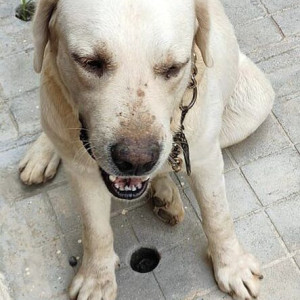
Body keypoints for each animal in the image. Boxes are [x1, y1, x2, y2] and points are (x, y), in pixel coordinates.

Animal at [18, 1, 274, 298]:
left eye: (173, 68)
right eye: (90, 62)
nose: (136, 161)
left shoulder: (204, 158)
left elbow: (217, 215)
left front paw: (232, 265)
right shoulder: (82, 171)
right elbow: (95, 229)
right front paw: (96, 277)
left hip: (255, 103)